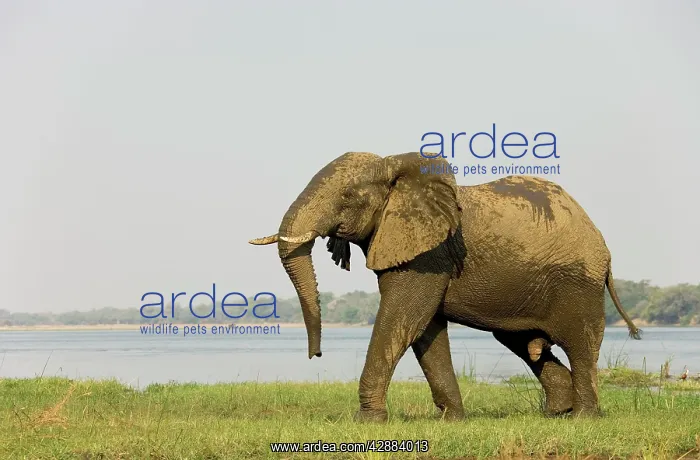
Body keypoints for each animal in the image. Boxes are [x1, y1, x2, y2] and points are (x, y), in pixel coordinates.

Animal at [249, 151, 641, 421]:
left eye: (347, 196)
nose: (315, 355)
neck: (395, 167)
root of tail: (601, 242)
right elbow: (425, 329)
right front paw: (452, 420)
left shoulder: (430, 253)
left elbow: (403, 317)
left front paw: (367, 422)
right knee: (524, 344)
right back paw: (555, 414)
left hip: (578, 281)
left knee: (581, 344)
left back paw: (583, 417)